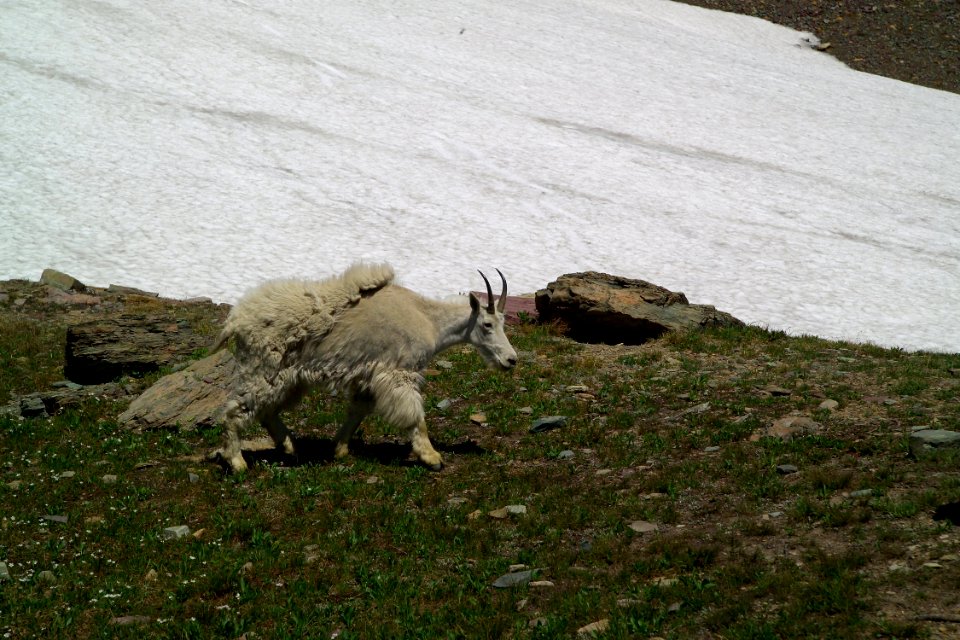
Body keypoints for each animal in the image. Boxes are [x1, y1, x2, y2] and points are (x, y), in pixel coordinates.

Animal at [211, 262, 516, 472]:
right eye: (487, 325)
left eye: (503, 323)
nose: (511, 360)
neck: (429, 320)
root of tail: (235, 321)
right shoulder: (398, 373)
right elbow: (415, 416)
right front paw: (432, 458)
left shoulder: (368, 376)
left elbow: (357, 410)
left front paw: (340, 449)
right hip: (264, 369)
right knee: (236, 411)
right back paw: (237, 462)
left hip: (289, 378)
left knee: (266, 411)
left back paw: (290, 448)